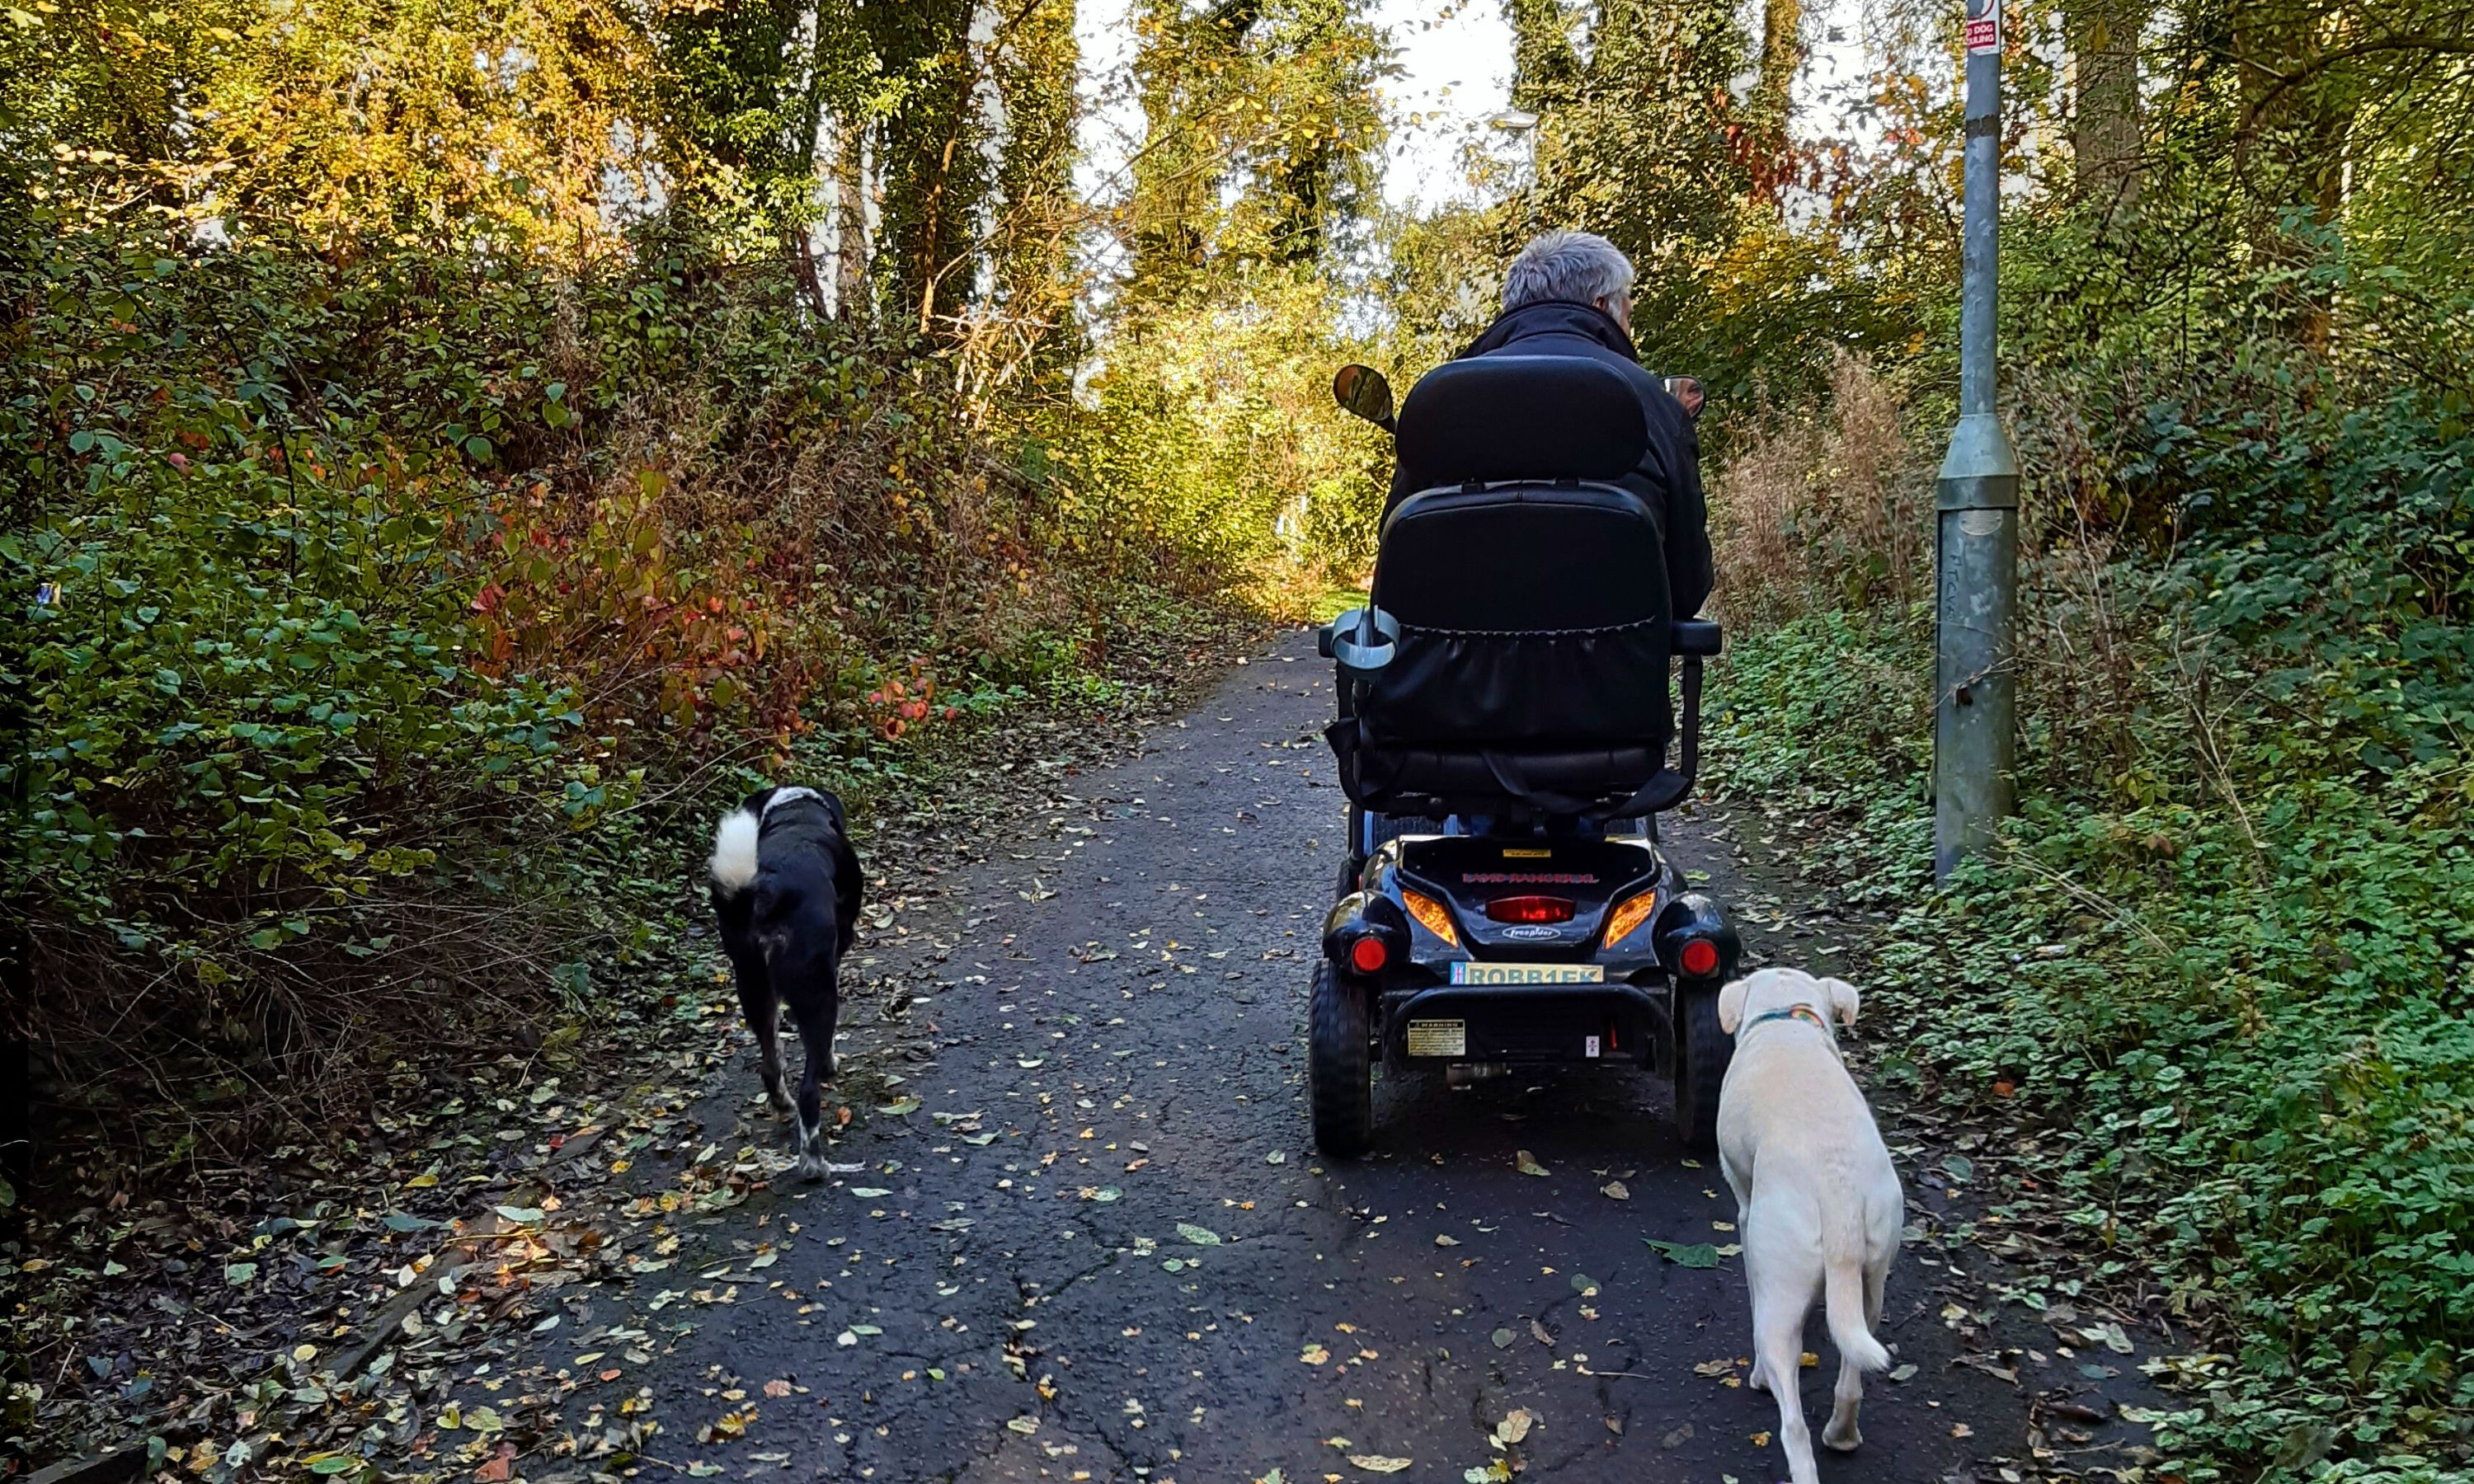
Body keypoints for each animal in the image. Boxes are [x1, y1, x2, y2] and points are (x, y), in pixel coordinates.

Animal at [713, 787, 866, 1182]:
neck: (795, 809)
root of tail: (768, 893)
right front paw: (830, 1062)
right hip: (818, 995)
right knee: (810, 1091)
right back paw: (813, 1163)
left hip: (753, 990)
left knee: (770, 1067)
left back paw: (783, 1105)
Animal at [1712, 970, 1900, 1474]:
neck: (1786, 1016)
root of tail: (1837, 1189)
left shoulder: (1744, 1205)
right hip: (1871, 1281)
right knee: (1852, 1376)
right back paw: (1842, 1435)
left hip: (1779, 1294)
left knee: (1792, 1423)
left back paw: (1765, 1383)